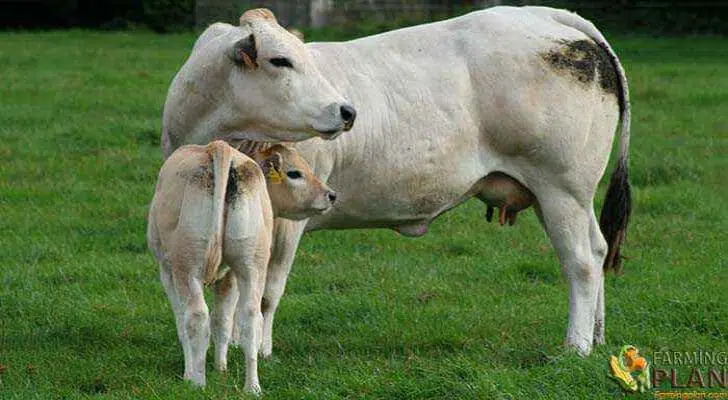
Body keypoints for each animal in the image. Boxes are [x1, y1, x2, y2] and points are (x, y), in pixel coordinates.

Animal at [149, 141, 342, 394]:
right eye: (294, 173)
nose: (331, 195)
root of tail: (218, 147)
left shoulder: (167, 269)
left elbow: (184, 321)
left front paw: (189, 373)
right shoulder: (230, 274)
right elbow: (223, 319)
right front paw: (221, 367)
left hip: (188, 266)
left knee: (196, 316)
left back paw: (198, 383)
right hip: (252, 263)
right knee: (251, 317)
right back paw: (252, 387)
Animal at [159, 5, 632, 356]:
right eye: (281, 60)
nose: (347, 111)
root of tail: (547, 15)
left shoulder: (289, 218)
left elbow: (265, 293)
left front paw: (258, 349)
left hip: (561, 189)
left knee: (581, 262)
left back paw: (577, 345)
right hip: (570, 196)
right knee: (598, 248)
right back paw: (598, 334)